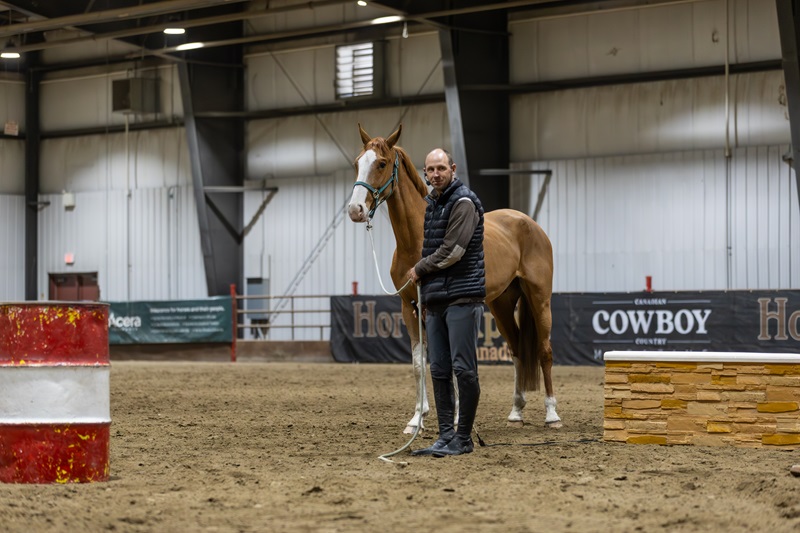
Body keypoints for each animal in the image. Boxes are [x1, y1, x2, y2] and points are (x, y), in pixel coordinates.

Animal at [347, 123, 562, 434]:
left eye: (382, 163)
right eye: (357, 163)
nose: (356, 210)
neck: (417, 240)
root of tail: (529, 223)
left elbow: (451, 361)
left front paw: (458, 418)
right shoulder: (409, 307)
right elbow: (419, 363)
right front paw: (417, 419)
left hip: (539, 299)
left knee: (544, 351)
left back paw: (552, 414)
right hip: (502, 305)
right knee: (518, 350)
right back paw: (516, 411)